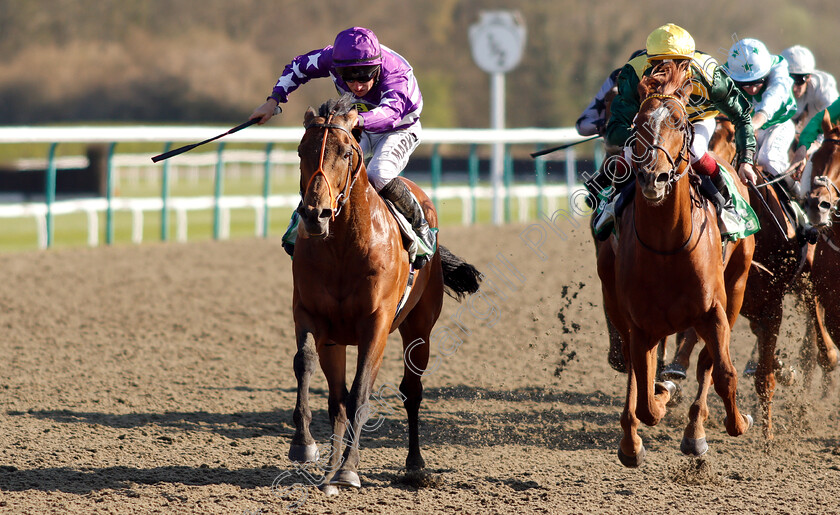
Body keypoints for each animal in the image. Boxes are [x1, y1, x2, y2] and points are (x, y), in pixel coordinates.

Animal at [288, 95, 480, 492]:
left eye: (347, 152)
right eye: (301, 150)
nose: (315, 215)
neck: (343, 248)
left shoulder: (375, 324)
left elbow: (362, 390)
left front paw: (349, 469)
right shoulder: (309, 314)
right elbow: (306, 364)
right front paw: (304, 445)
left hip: (419, 328)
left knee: (412, 391)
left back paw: (414, 464)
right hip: (336, 340)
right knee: (336, 400)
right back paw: (329, 469)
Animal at [596, 60, 756, 468]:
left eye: (680, 122)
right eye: (638, 122)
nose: (653, 177)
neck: (666, 247)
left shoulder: (714, 311)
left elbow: (723, 373)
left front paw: (738, 421)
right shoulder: (638, 323)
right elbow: (644, 396)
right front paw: (641, 427)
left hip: (737, 287)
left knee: (706, 364)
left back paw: (694, 431)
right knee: (638, 373)